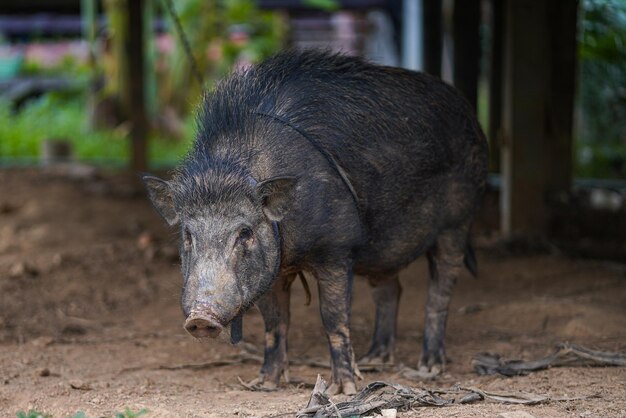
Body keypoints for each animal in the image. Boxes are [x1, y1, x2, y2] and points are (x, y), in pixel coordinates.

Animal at [143, 49, 488, 396]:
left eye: (245, 232)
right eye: (187, 235)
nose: (200, 317)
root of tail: (470, 116)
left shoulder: (337, 249)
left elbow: (333, 318)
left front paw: (344, 390)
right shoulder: (272, 270)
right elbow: (275, 323)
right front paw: (264, 384)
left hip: (458, 221)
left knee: (440, 289)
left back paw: (428, 368)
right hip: (384, 248)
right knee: (390, 288)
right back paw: (376, 359)